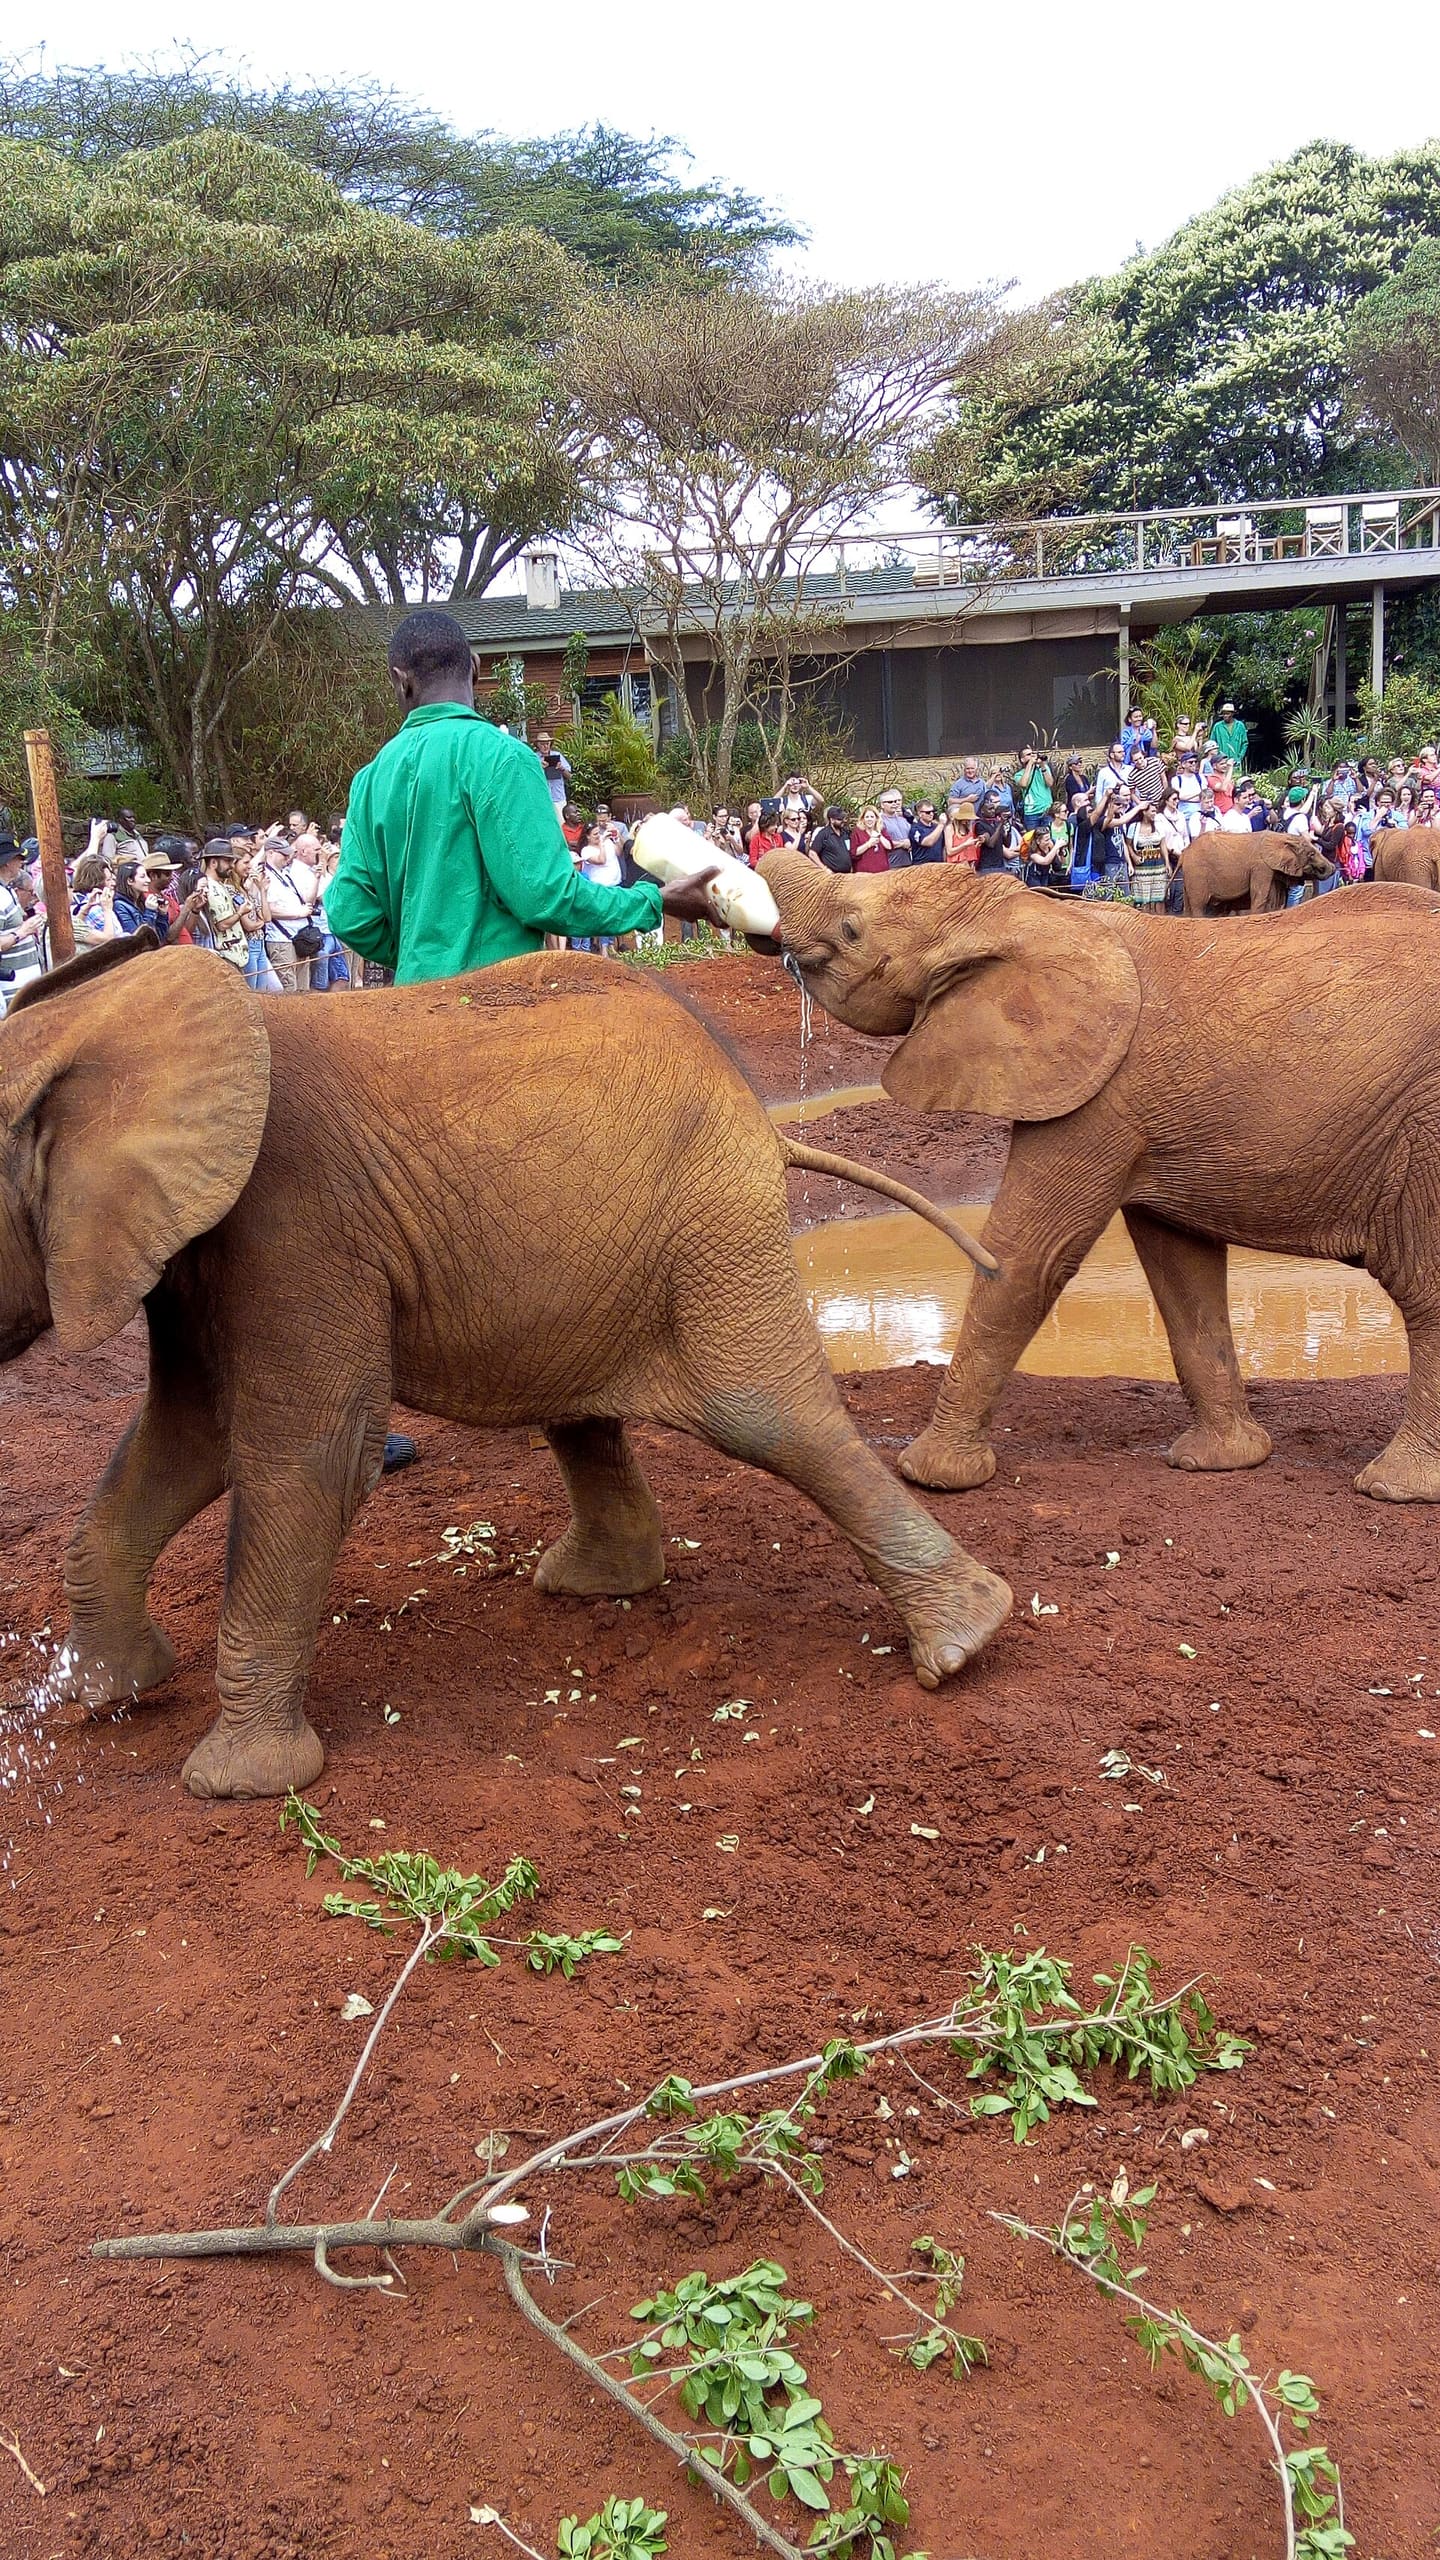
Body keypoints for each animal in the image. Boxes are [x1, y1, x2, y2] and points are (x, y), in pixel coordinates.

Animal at [0, 937, 1011, 1798]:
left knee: (771, 1416)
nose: (45, 1720)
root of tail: (765, 1120)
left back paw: (965, 1645)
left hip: (711, 1229)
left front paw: (233, 1785)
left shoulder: (297, 1224)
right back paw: (593, 1586)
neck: (95, 1023)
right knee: (590, 1415)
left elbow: (309, 1458)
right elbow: (189, 1442)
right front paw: (108, 1695)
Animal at [760, 847, 1440, 1502]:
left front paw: (931, 1476)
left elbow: (1027, 1258)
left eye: (851, 929)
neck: (1022, 912)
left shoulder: (1096, 1098)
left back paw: (1393, 1489)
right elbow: (1181, 1270)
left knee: (1425, 1289)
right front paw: (1217, 1462)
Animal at [1180, 830, 1336, 914]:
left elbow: (1274, 901)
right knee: (1199, 905)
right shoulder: (1261, 867)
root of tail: (1184, 853)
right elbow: (1260, 897)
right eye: (1311, 854)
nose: (1334, 868)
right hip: (1197, 873)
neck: (1281, 837)